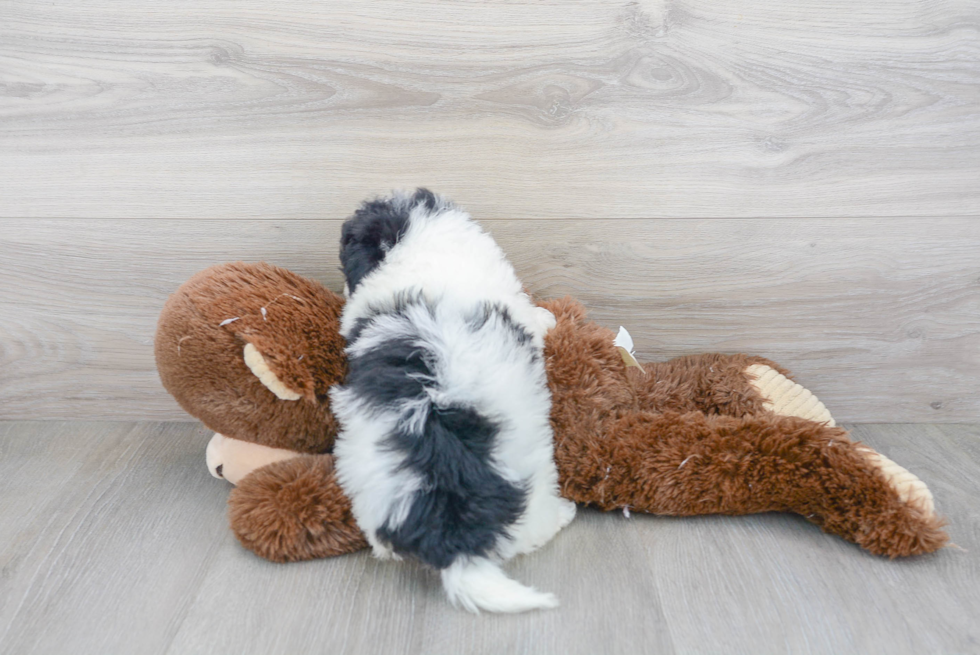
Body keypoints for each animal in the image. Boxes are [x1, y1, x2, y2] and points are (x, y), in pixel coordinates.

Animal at [332, 190, 576, 616]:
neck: (412, 242)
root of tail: (451, 538)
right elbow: (533, 318)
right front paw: (548, 318)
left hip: (367, 477)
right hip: (531, 485)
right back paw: (564, 514)